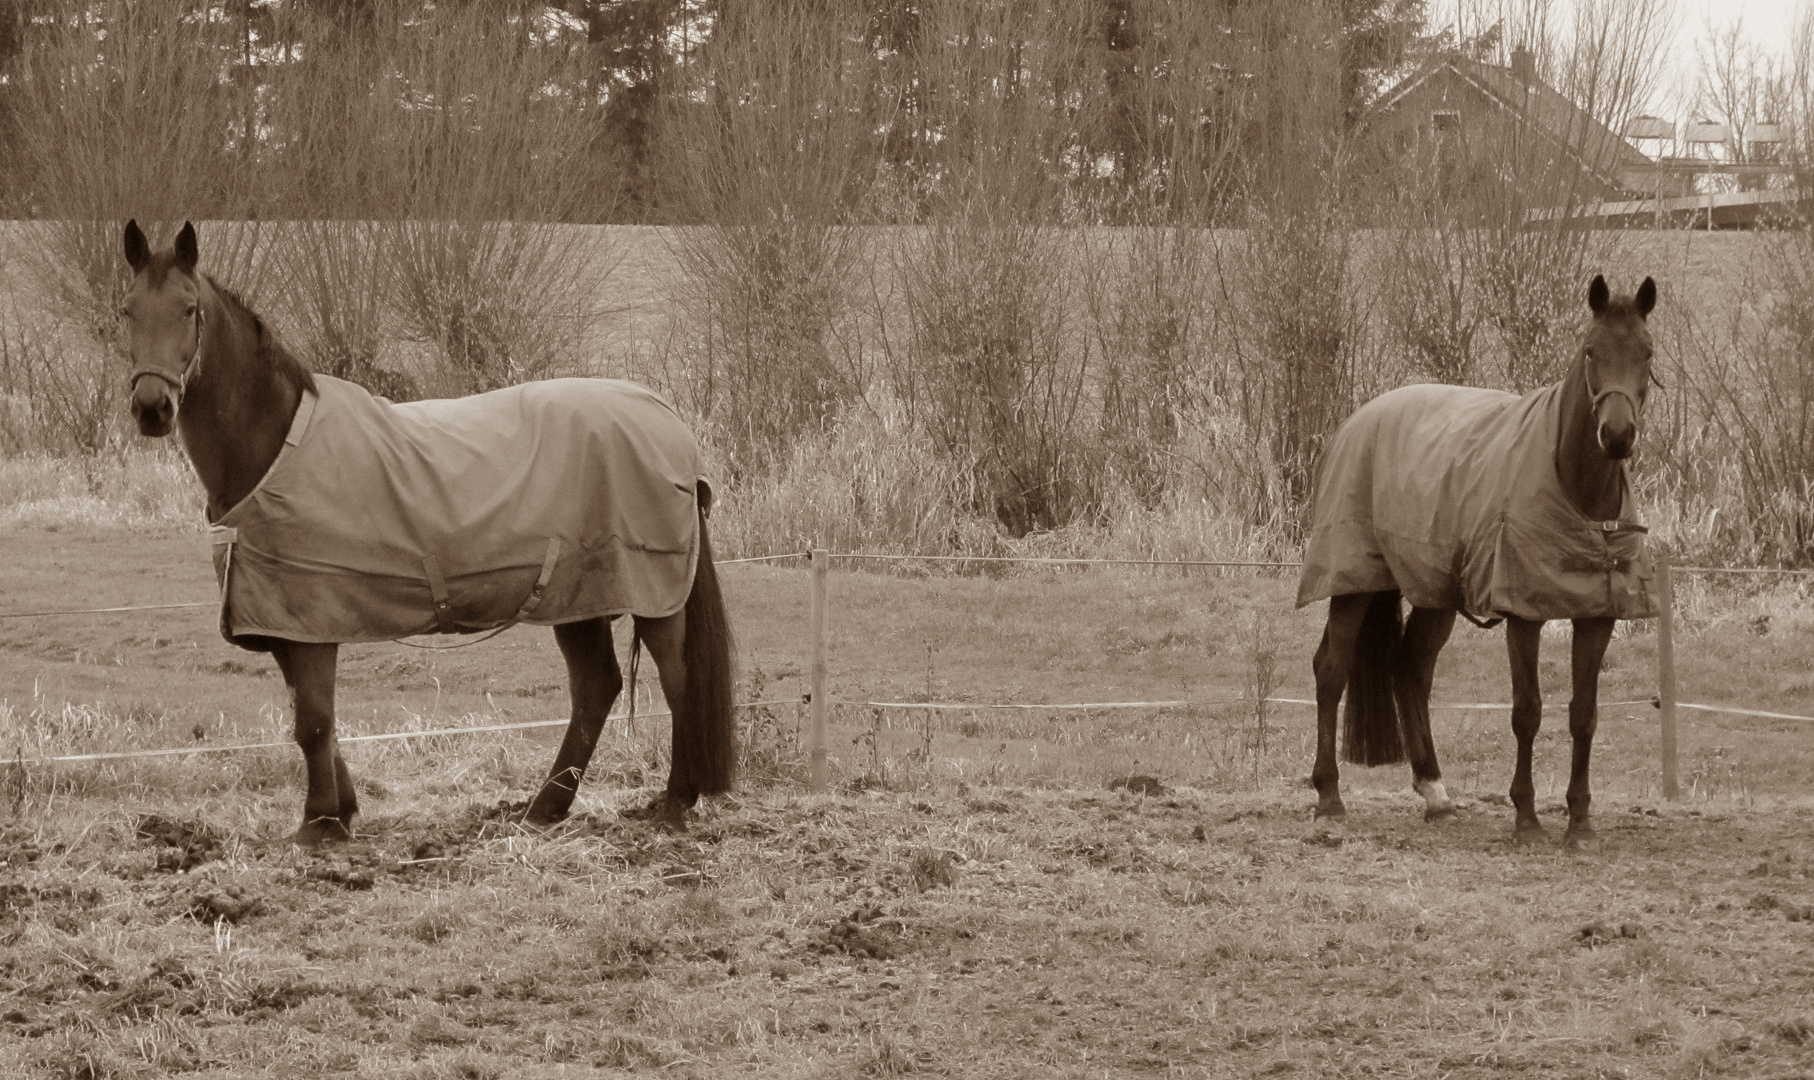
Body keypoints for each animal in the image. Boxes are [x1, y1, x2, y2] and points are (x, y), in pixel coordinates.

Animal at [122, 219, 736, 845]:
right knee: (596, 688)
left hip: (654, 595)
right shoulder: (286, 621)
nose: (152, 407)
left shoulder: (312, 619)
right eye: (127, 310)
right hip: (578, 597)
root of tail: (669, 424)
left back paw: (675, 801)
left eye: (189, 309)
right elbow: (318, 720)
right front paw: (340, 812)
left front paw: (318, 824)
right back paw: (544, 807)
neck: (276, 447)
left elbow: (313, 722)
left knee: (679, 680)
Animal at [1306, 274, 1661, 849]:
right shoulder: (1524, 615)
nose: (1617, 434)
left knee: (1411, 668)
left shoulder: (1597, 617)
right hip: (1354, 581)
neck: (1578, 494)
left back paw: (1436, 793)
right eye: (1591, 350)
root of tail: (1358, 420)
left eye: (1647, 352)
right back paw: (1329, 798)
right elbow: (1527, 712)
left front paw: (1580, 821)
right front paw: (1526, 818)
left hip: (1434, 592)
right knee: (1330, 671)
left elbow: (1583, 715)